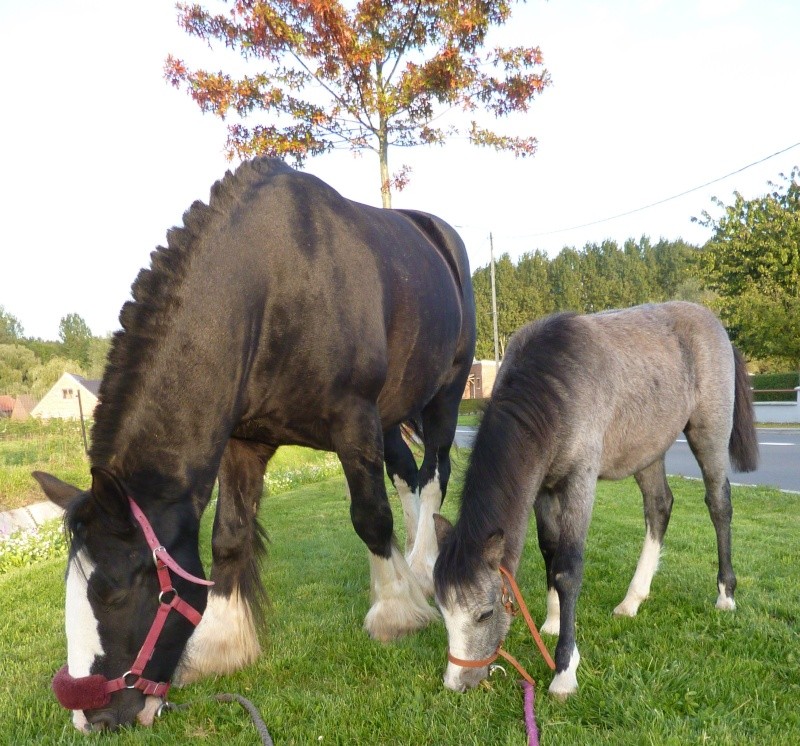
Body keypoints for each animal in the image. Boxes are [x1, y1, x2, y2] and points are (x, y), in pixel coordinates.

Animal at [36, 154, 476, 728]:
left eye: (116, 590)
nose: (93, 719)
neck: (274, 284)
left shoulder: (354, 419)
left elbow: (369, 517)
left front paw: (395, 614)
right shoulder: (243, 441)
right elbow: (229, 536)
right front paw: (221, 644)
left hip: (444, 395)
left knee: (433, 475)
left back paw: (421, 567)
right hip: (392, 415)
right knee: (407, 477)